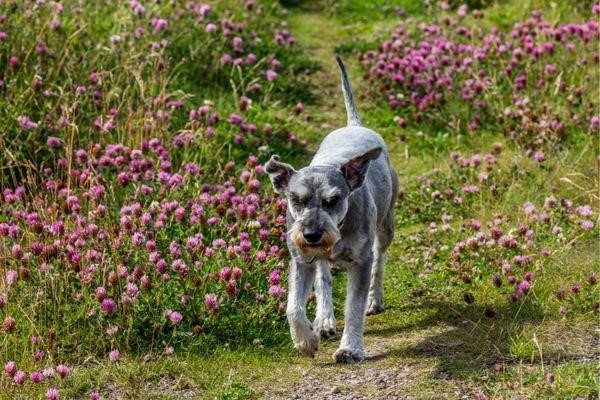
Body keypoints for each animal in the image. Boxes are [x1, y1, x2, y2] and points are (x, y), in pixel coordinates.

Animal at [266, 54, 398, 364]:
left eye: (334, 199)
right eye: (296, 199)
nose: (312, 234)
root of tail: (353, 125)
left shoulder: (360, 261)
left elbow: (354, 307)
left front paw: (350, 348)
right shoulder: (301, 259)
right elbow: (293, 307)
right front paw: (306, 341)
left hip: (386, 226)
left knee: (380, 260)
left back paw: (375, 299)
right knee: (323, 277)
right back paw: (324, 320)